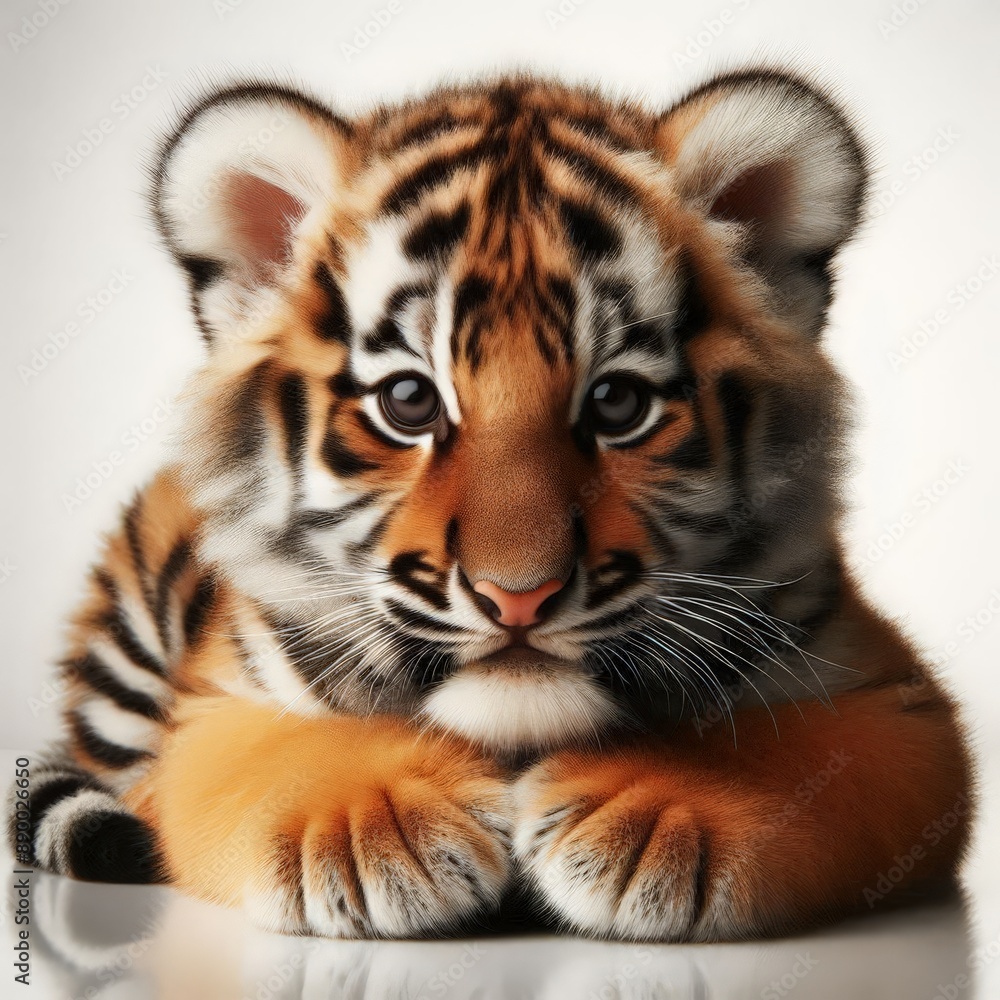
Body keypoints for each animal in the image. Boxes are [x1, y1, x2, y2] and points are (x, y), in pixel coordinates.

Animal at [10, 68, 972, 943]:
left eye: (618, 404)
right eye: (409, 402)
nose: (519, 596)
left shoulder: (902, 704)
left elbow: (796, 750)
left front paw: (651, 815)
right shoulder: (213, 702)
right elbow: (264, 754)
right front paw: (374, 828)